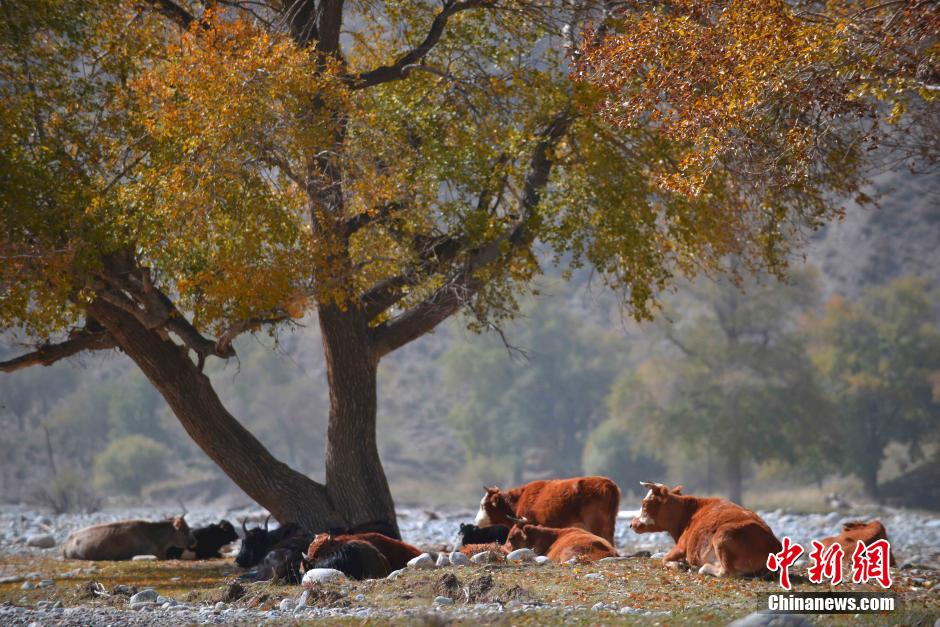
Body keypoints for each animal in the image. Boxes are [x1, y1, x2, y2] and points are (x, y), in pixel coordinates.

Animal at [632, 480, 780, 580]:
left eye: (645, 504)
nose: (632, 524)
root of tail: (774, 544)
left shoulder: (681, 546)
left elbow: (663, 559)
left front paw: (681, 565)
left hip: (723, 535)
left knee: (726, 572)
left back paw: (700, 568)